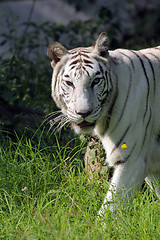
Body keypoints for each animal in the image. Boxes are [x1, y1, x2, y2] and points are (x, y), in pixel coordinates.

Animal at [47, 32, 160, 217]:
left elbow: (110, 208)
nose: (83, 113)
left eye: (95, 81)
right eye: (70, 83)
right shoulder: (150, 160)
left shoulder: (132, 159)